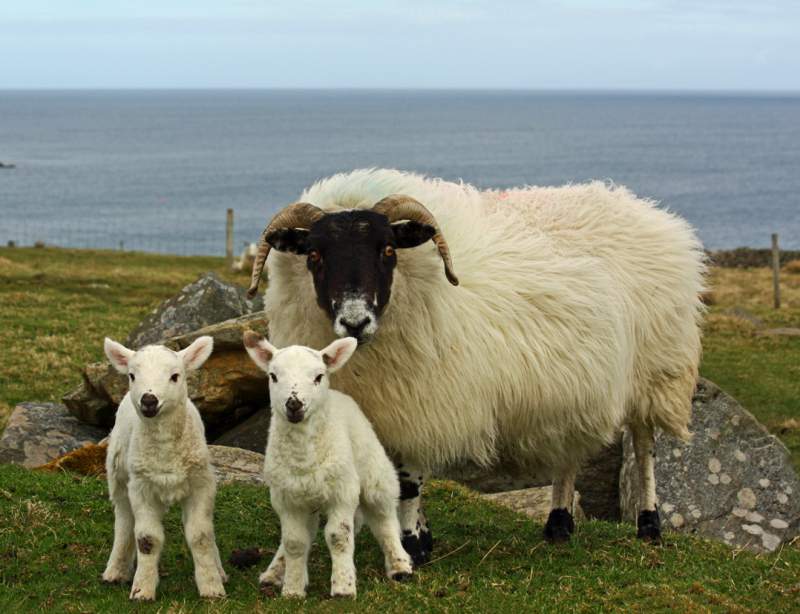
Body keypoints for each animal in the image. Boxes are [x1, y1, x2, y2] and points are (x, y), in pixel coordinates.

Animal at [101, 336, 228, 600]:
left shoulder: (201, 484)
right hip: (118, 474)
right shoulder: (141, 487)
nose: (148, 400)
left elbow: (200, 535)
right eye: (132, 375)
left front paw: (211, 586)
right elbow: (147, 539)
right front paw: (142, 590)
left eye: (175, 376)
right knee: (124, 520)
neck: (166, 450)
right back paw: (115, 570)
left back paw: (219, 570)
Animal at [244, 330, 412, 600]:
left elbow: (339, 537)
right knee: (307, 532)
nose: (294, 404)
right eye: (273, 376)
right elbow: (294, 542)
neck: (303, 457)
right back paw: (274, 573)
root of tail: (340, 395)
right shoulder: (286, 499)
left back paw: (400, 565)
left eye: (318, 376)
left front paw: (343, 587)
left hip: (374, 472)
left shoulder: (342, 493)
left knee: (384, 517)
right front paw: (292, 589)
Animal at [247, 171, 704, 564]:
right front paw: (405, 536)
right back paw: (559, 524)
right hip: (574, 383)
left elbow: (408, 482)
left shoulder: (422, 403)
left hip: (654, 369)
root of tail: (647, 210)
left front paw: (413, 545)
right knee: (568, 448)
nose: (355, 322)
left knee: (643, 447)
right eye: (314, 255)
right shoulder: (383, 408)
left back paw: (648, 525)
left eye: (389, 250)